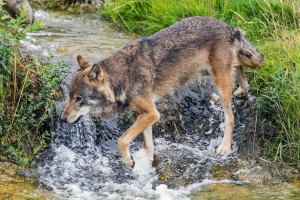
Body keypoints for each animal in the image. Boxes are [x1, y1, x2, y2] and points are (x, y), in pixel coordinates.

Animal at [60, 16, 262, 167]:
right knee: (239, 68)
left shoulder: (151, 113)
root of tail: (228, 26)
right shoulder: (145, 114)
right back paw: (243, 90)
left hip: (220, 86)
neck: (123, 79)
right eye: (69, 97)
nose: (61, 119)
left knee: (231, 117)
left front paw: (129, 162)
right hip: (212, 72)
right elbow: (148, 145)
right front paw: (147, 162)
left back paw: (225, 147)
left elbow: (122, 140)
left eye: (79, 99)